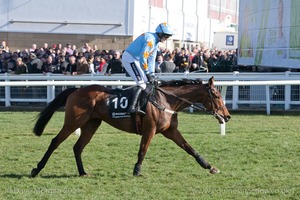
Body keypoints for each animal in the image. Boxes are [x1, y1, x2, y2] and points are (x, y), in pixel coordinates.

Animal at [30, 76, 231, 177]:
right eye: (216, 95)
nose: (227, 116)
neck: (166, 100)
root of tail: (76, 89)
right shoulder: (150, 129)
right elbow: (142, 150)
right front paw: (137, 171)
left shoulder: (171, 131)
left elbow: (190, 149)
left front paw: (210, 166)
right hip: (74, 122)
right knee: (55, 141)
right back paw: (36, 169)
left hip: (91, 124)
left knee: (77, 147)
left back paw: (82, 172)